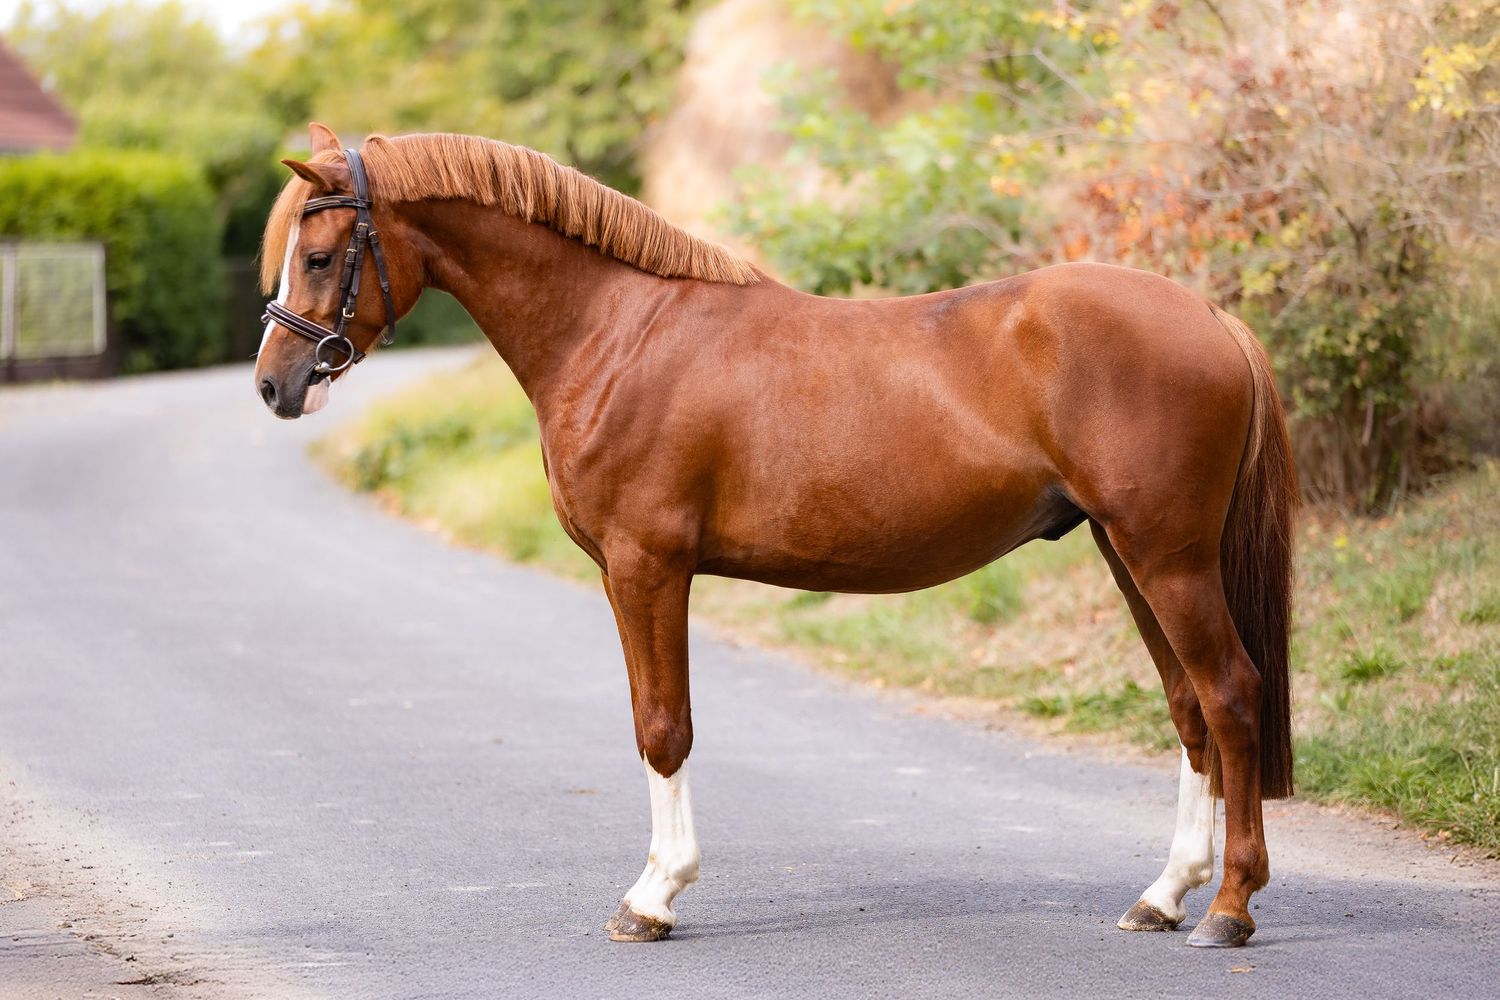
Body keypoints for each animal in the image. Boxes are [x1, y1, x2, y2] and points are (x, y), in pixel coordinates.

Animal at [255, 123, 1296, 949]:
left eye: (321, 255)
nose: (274, 384)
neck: (617, 331)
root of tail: (1210, 316)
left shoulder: (645, 568)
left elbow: (662, 727)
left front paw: (654, 897)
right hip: (1130, 554)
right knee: (1190, 708)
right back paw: (1164, 896)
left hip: (1165, 558)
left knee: (1231, 695)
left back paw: (1229, 909)